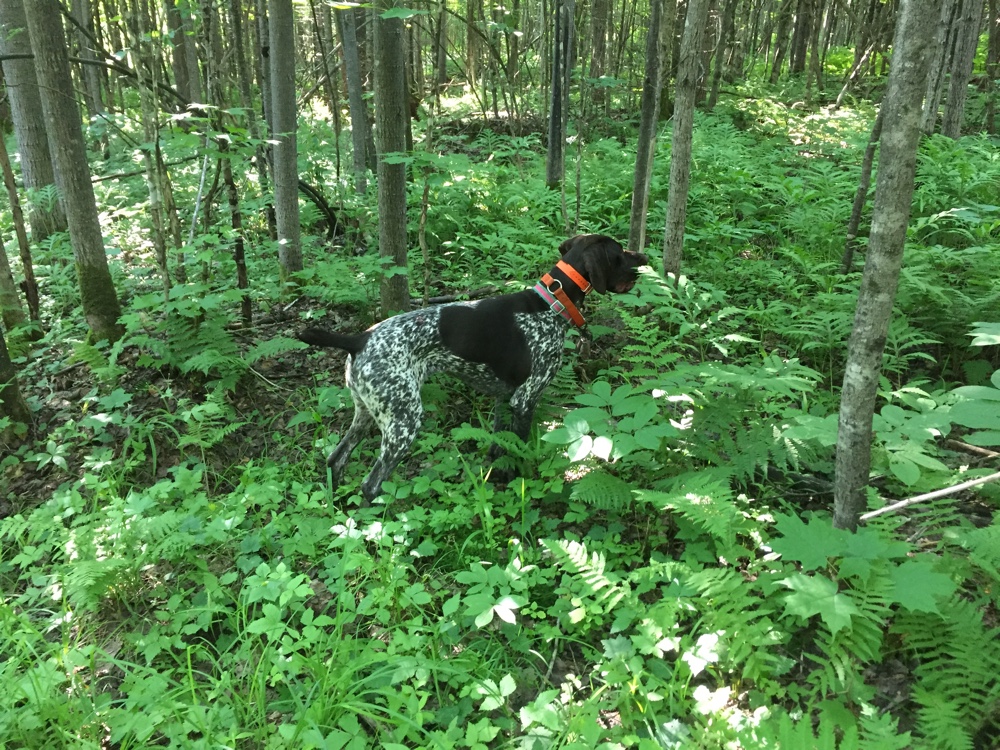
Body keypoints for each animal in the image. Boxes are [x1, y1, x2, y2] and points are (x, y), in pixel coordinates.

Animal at [298, 235, 648, 502]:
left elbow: (499, 446)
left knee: (335, 459)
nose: (644, 255)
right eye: (620, 252)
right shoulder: (525, 399)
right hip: (403, 420)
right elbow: (519, 448)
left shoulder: (502, 400)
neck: (551, 304)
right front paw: (522, 482)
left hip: (366, 413)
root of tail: (359, 339)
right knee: (370, 484)